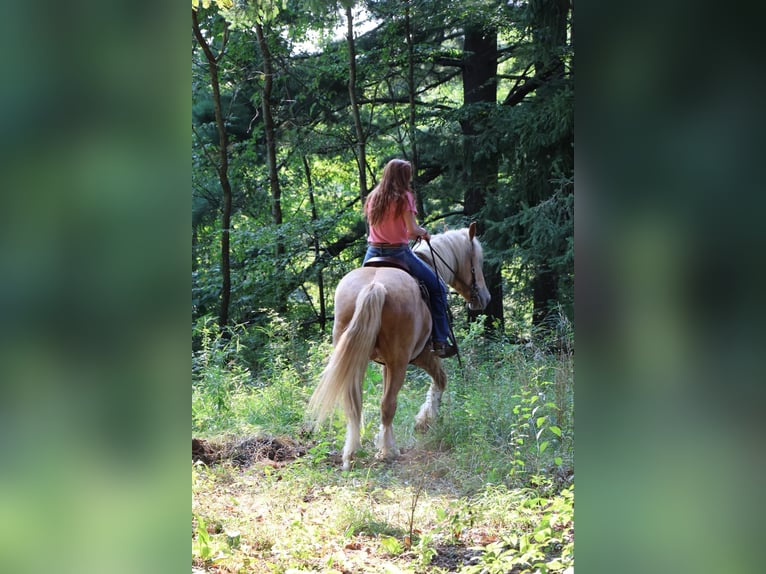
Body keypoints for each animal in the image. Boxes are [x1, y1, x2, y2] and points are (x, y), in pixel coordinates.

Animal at [308, 222, 491, 470]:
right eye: (476, 262)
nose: (485, 298)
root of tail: (374, 286)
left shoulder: (385, 364)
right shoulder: (422, 355)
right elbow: (441, 380)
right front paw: (425, 420)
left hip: (356, 357)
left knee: (354, 403)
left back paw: (352, 452)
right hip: (400, 362)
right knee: (387, 404)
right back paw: (388, 451)